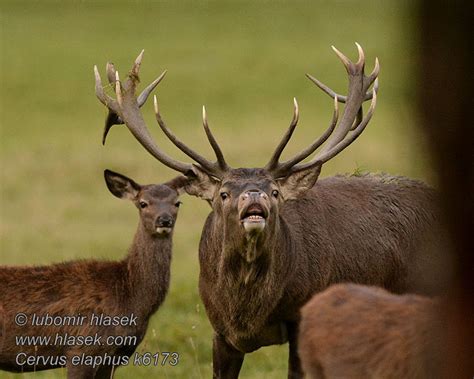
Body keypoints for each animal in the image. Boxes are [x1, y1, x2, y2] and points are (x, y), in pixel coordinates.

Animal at [95, 43, 444, 378]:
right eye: (224, 193)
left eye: (274, 191)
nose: (254, 195)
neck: (247, 311)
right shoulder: (219, 331)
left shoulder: (301, 318)